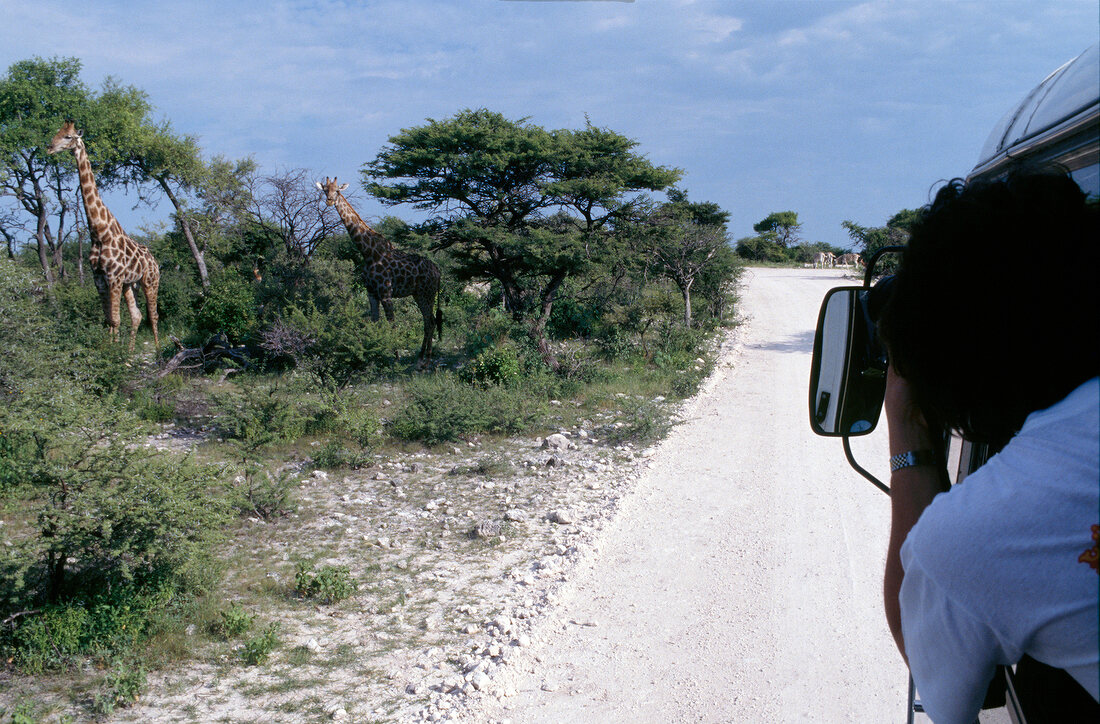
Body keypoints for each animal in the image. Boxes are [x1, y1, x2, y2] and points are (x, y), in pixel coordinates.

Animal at [48, 119, 159, 349]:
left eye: (68, 136)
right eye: (57, 132)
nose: (49, 147)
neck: (99, 233)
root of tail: (155, 260)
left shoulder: (114, 276)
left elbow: (115, 319)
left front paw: (113, 352)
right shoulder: (99, 277)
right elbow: (109, 319)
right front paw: (109, 350)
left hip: (150, 282)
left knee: (153, 316)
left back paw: (160, 351)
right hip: (131, 284)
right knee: (137, 315)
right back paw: (129, 353)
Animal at [316, 177, 440, 360]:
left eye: (337, 190)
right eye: (325, 190)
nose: (330, 201)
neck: (367, 252)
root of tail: (438, 272)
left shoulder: (386, 292)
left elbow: (392, 324)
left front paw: (396, 357)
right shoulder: (371, 292)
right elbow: (374, 322)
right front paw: (373, 352)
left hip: (427, 293)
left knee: (430, 321)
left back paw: (428, 355)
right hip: (419, 294)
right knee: (428, 320)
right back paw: (422, 352)